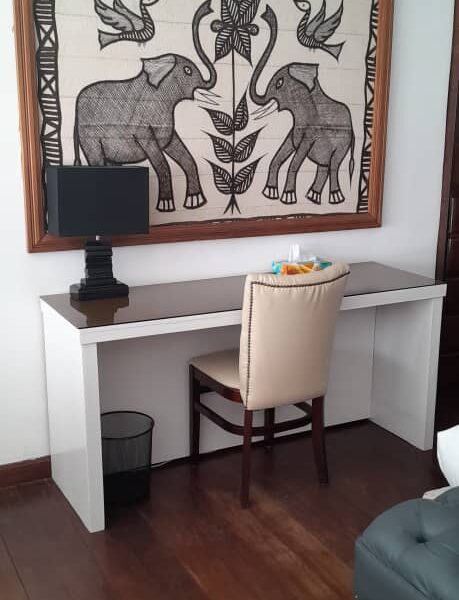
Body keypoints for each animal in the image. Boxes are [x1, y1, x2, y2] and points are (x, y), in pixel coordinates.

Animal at [74, 0, 217, 213]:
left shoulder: (166, 126)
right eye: (188, 70)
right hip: (90, 137)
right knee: (97, 160)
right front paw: (166, 206)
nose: (208, 9)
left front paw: (194, 201)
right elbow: (160, 160)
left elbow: (183, 153)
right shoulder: (142, 127)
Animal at [249, 6, 355, 206]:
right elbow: (281, 152)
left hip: (343, 143)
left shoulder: (312, 131)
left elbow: (296, 159)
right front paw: (270, 193)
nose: (266, 14)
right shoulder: (295, 129)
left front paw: (288, 198)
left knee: (334, 165)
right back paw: (312, 197)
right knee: (324, 167)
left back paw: (335, 198)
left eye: (279, 83)